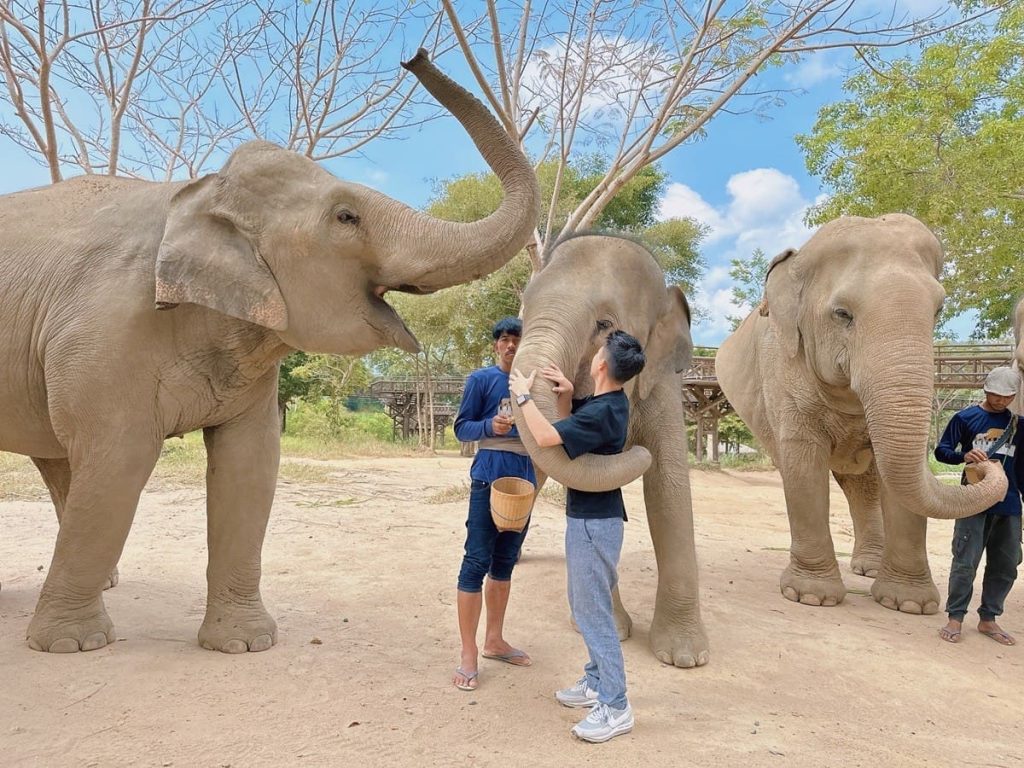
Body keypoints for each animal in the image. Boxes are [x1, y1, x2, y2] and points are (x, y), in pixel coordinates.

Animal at [0, 49, 540, 653]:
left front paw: (243, 645)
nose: (414, 56)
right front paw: (71, 645)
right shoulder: (106, 332)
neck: (196, 192)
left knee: (57, 458)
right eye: (346, 217)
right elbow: (119, 460)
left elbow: (250, 463)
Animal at [511, 233, 709, 668]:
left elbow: (668, 487)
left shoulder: (664, 385)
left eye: (604, 324)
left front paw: (686, 658)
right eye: (525, 312)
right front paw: (616, 631)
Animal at [716, 214, 1007, 615]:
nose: (983, 460)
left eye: (938, 311)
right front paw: (811, 597)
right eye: (842, 314)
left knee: (863, 483)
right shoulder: (783, 372)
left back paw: (867, 569)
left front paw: (909, 605)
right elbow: (803, 465)